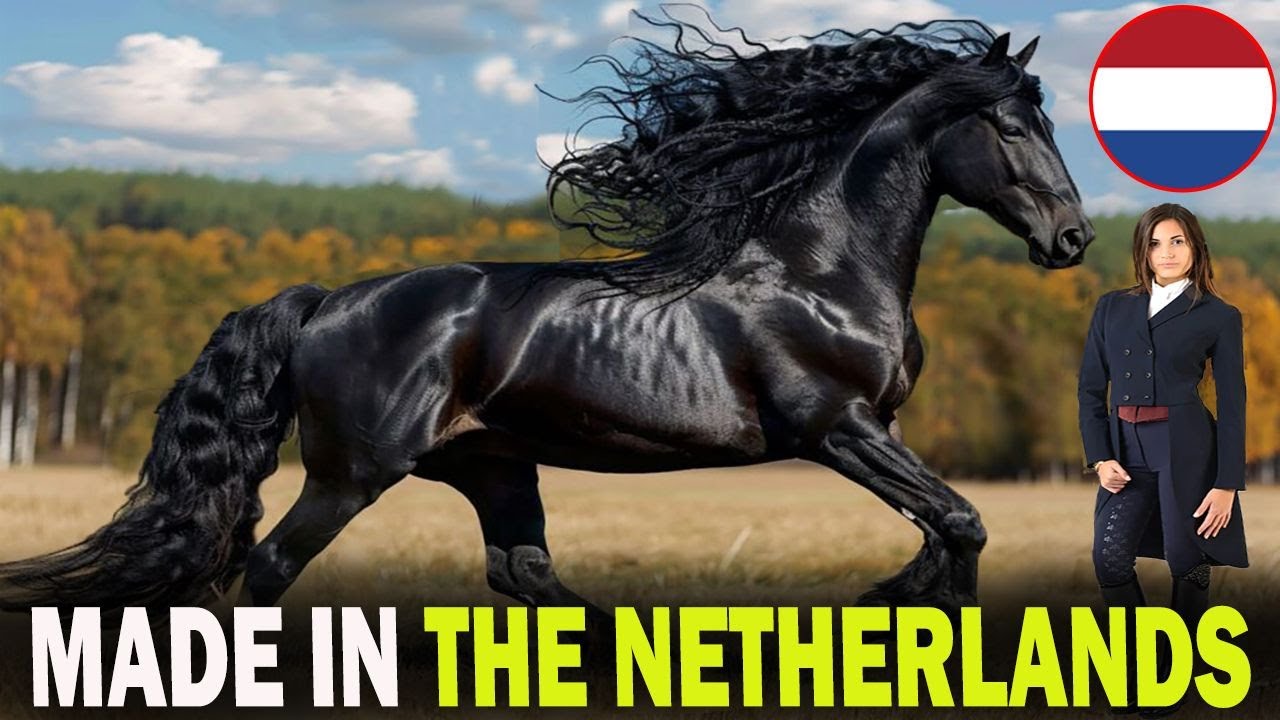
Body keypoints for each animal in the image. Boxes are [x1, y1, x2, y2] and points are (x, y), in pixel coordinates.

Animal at [0, 17, 1093, 615]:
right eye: (1011, 125)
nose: (1073, 238)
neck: (818, 270)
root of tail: (322, 304)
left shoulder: (871, 433)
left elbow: (946, 534)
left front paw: (894, 601)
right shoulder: (839, 428)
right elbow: (961, 523)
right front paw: (892, 601)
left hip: (492, 463)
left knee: (524, 576)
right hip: (354, 473)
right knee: (268, 570)